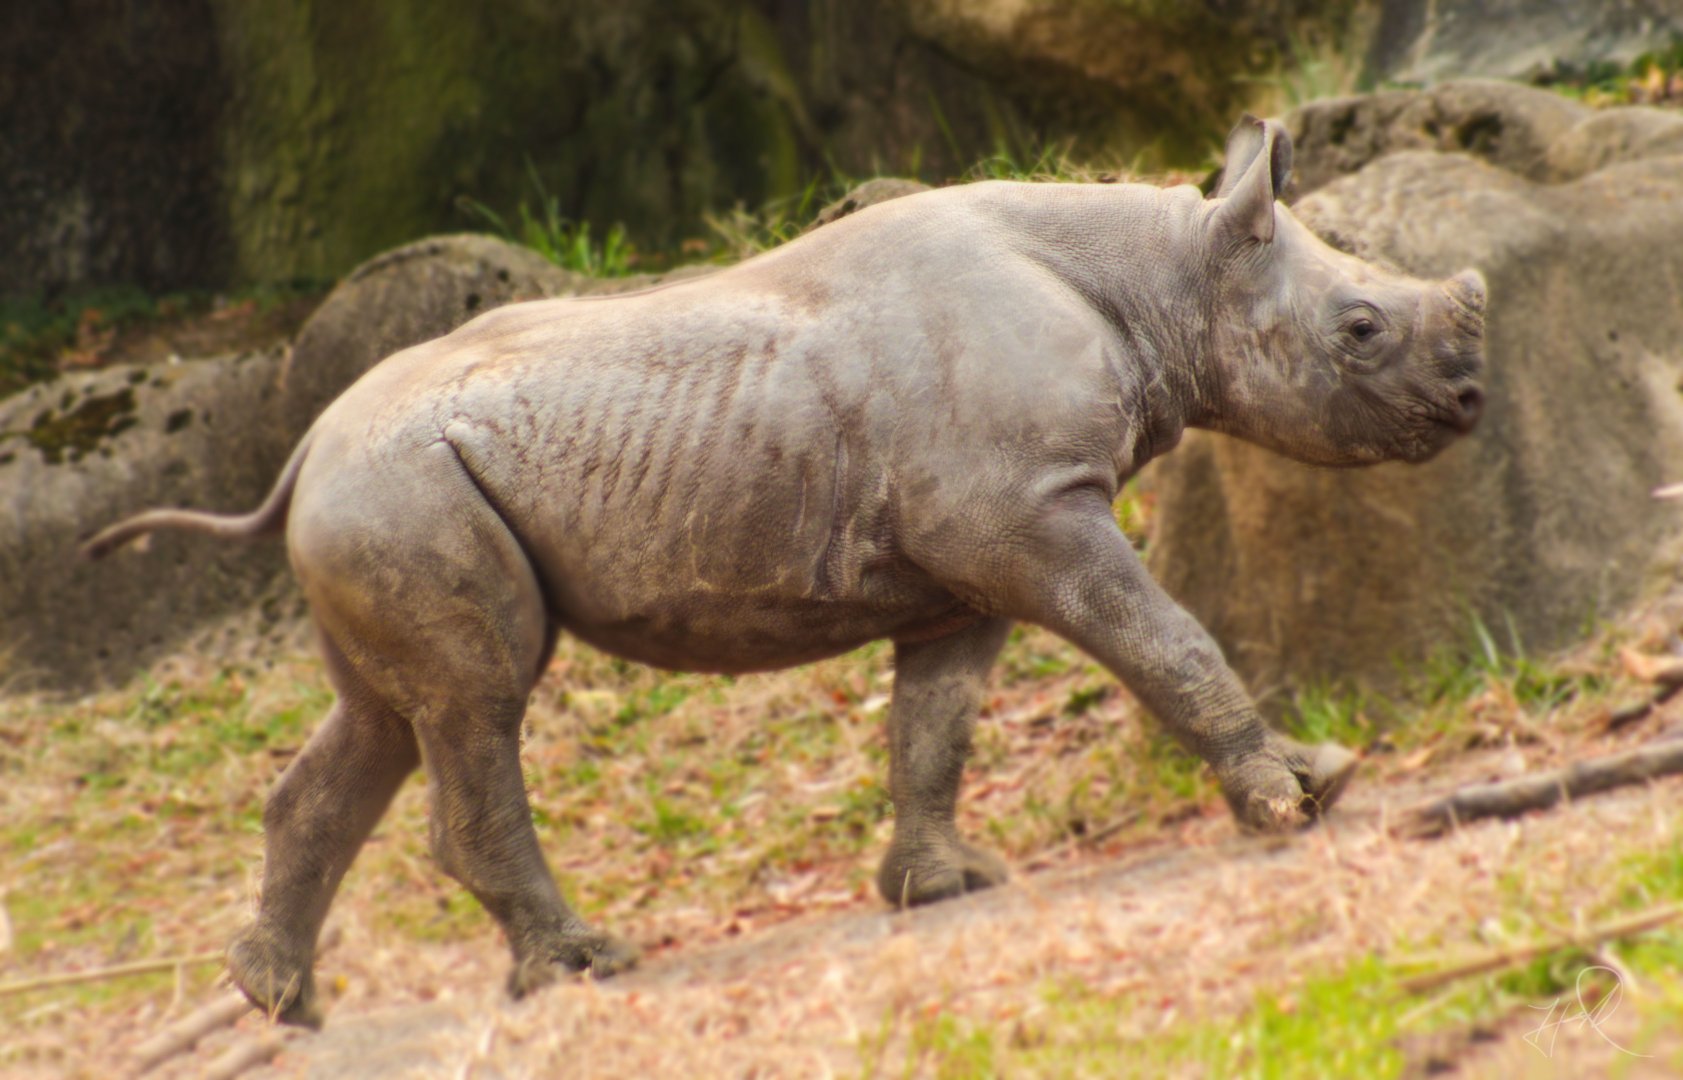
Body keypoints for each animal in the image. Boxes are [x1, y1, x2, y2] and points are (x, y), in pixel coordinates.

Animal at [85, 116, 1486, 1027]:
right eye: (1361, 331)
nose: (1475, 400)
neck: (1167, 275)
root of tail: (306, 443)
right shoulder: (1026, 513)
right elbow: (1162, 635)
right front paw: (1300, 797)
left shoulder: (978, 549)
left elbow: (938, 721)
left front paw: (943, 889)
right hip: (402, 487)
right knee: (477, 700)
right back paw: (584, 970)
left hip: (378, 490)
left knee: (385, 715)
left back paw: (281, 1002)